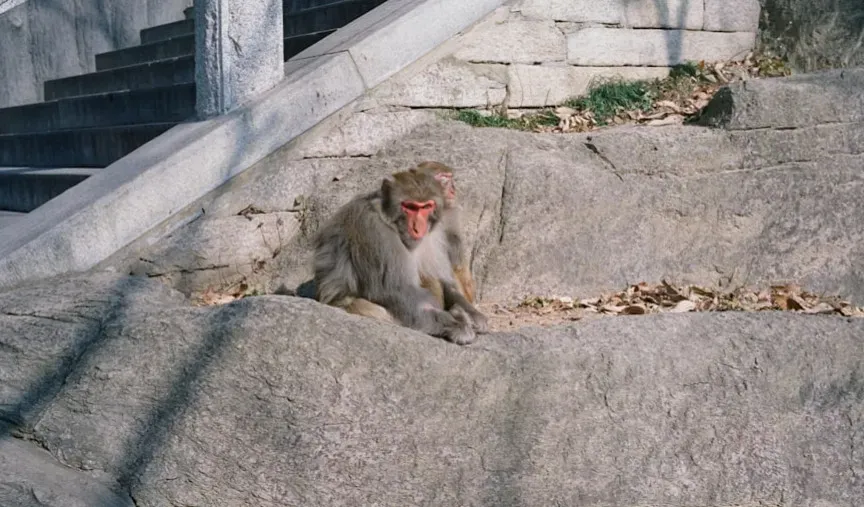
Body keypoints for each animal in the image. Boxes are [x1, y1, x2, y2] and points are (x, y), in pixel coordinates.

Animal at [313, 169, 483, 345]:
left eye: (426, 207)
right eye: (410, 207)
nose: (417, 228)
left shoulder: (435, 236)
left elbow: (443, 281)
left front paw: (472, 313)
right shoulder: (374, 231)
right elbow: (394, 291)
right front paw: (455, 325)